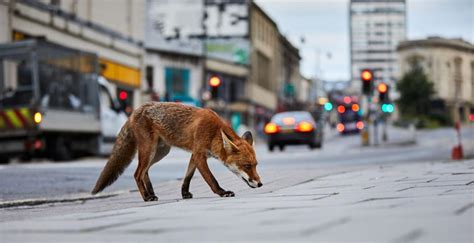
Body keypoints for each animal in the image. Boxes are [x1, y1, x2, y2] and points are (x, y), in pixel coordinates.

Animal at [92, 101, 262, 200]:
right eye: (247, 166)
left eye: (256, 165)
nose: (260, 184)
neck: (214, 133)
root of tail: (135, 110)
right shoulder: (200, 155)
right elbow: (211, 179)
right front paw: (222, 192)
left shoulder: (195, 155)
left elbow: (187, 177)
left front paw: (184, 194)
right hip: (149, 150)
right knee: (137, 173)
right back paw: (146, 197)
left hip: (160, 153)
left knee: (144, 171)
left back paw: (151, 192)